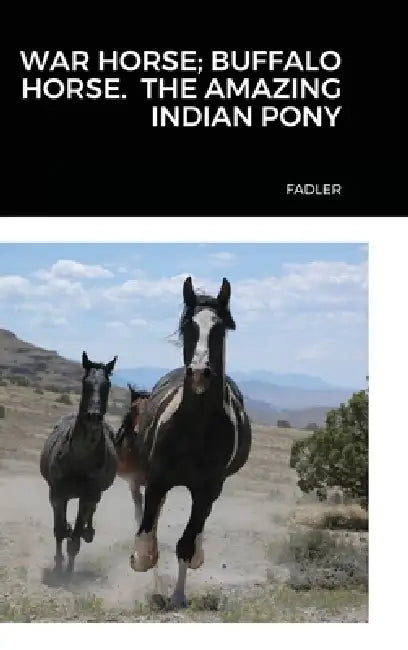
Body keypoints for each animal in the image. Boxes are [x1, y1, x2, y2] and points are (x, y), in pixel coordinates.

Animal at [40, 351, 118, 575]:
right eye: (85, 382)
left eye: (107, 384)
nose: (93, 416)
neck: (79, 459)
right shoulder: (57, 495)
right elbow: (59, 531)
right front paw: (58, 565)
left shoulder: (87, 496)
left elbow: (74, 540)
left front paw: (67, 573)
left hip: (95, 495)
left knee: (91, 512)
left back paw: (88, 531)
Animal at [129, 276, 252, 607]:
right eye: (187, 326)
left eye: (220, 328)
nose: (199, 373)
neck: (195, 428)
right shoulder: (158, 479)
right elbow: (146, 536)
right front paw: (145, 563)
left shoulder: (207, 489)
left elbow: (185, 543)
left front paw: (178, 596)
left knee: (196, 529)